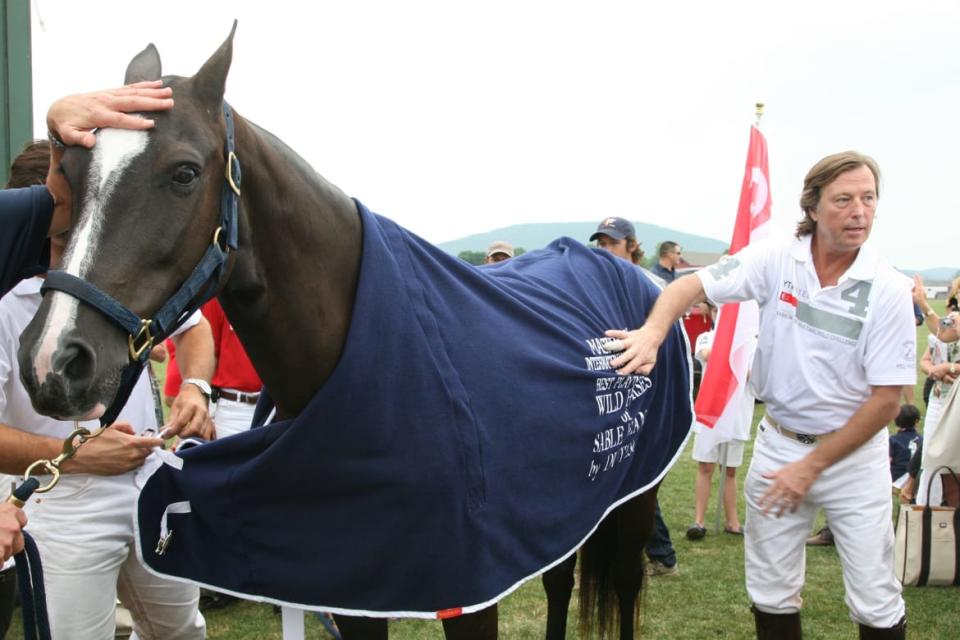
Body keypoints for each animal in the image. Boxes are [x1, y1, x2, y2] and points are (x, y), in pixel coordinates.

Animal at [15, 25, 688, 640]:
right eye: (66, 169)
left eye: (184, 173)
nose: (53, 360)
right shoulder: (356, 587)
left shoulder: (473, 590)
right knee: (559, 582)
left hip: (634, 498)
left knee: (623, 582)